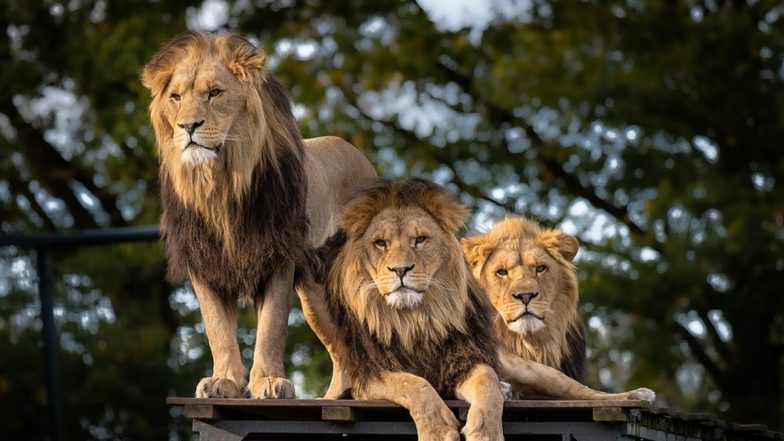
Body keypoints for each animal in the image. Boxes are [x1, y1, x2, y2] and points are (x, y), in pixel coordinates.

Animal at [142, 31, 376, 398]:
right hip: (315, 294)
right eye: (176, 97)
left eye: (215, 92)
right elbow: (217, 329)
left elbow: (271, 327)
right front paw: (224, 380)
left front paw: (268, 381)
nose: (188, 126)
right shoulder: (204, 261)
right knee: (342, 350)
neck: (220, 185)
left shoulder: (277, 255)